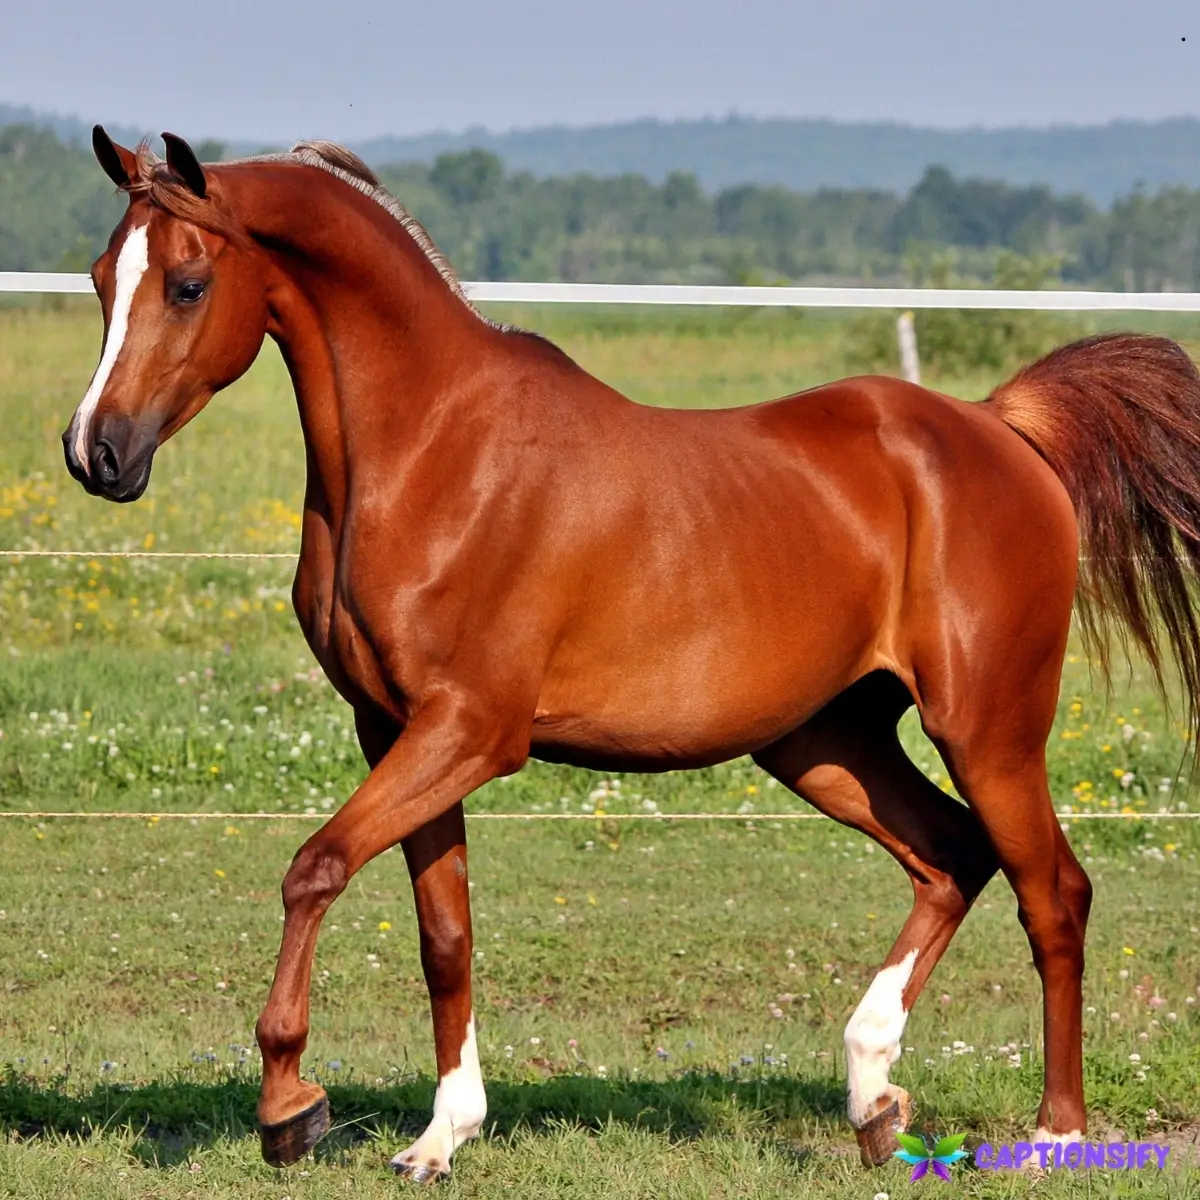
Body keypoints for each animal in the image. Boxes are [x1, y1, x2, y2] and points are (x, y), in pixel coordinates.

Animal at [62, 126, 1200, 1181]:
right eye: (100, 277)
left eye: (188, 284)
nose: (96, 453)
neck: (434, 451)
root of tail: (1000, 430)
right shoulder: (395, 730)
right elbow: (444, 935)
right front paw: (440, 1138)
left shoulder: (470, 731)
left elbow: (316, 868)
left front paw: (290, 1105)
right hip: (825, 742)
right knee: (952, 856)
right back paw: (874, 1096)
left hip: (989, 730)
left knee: (1052, 894)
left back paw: (1056, 1135)